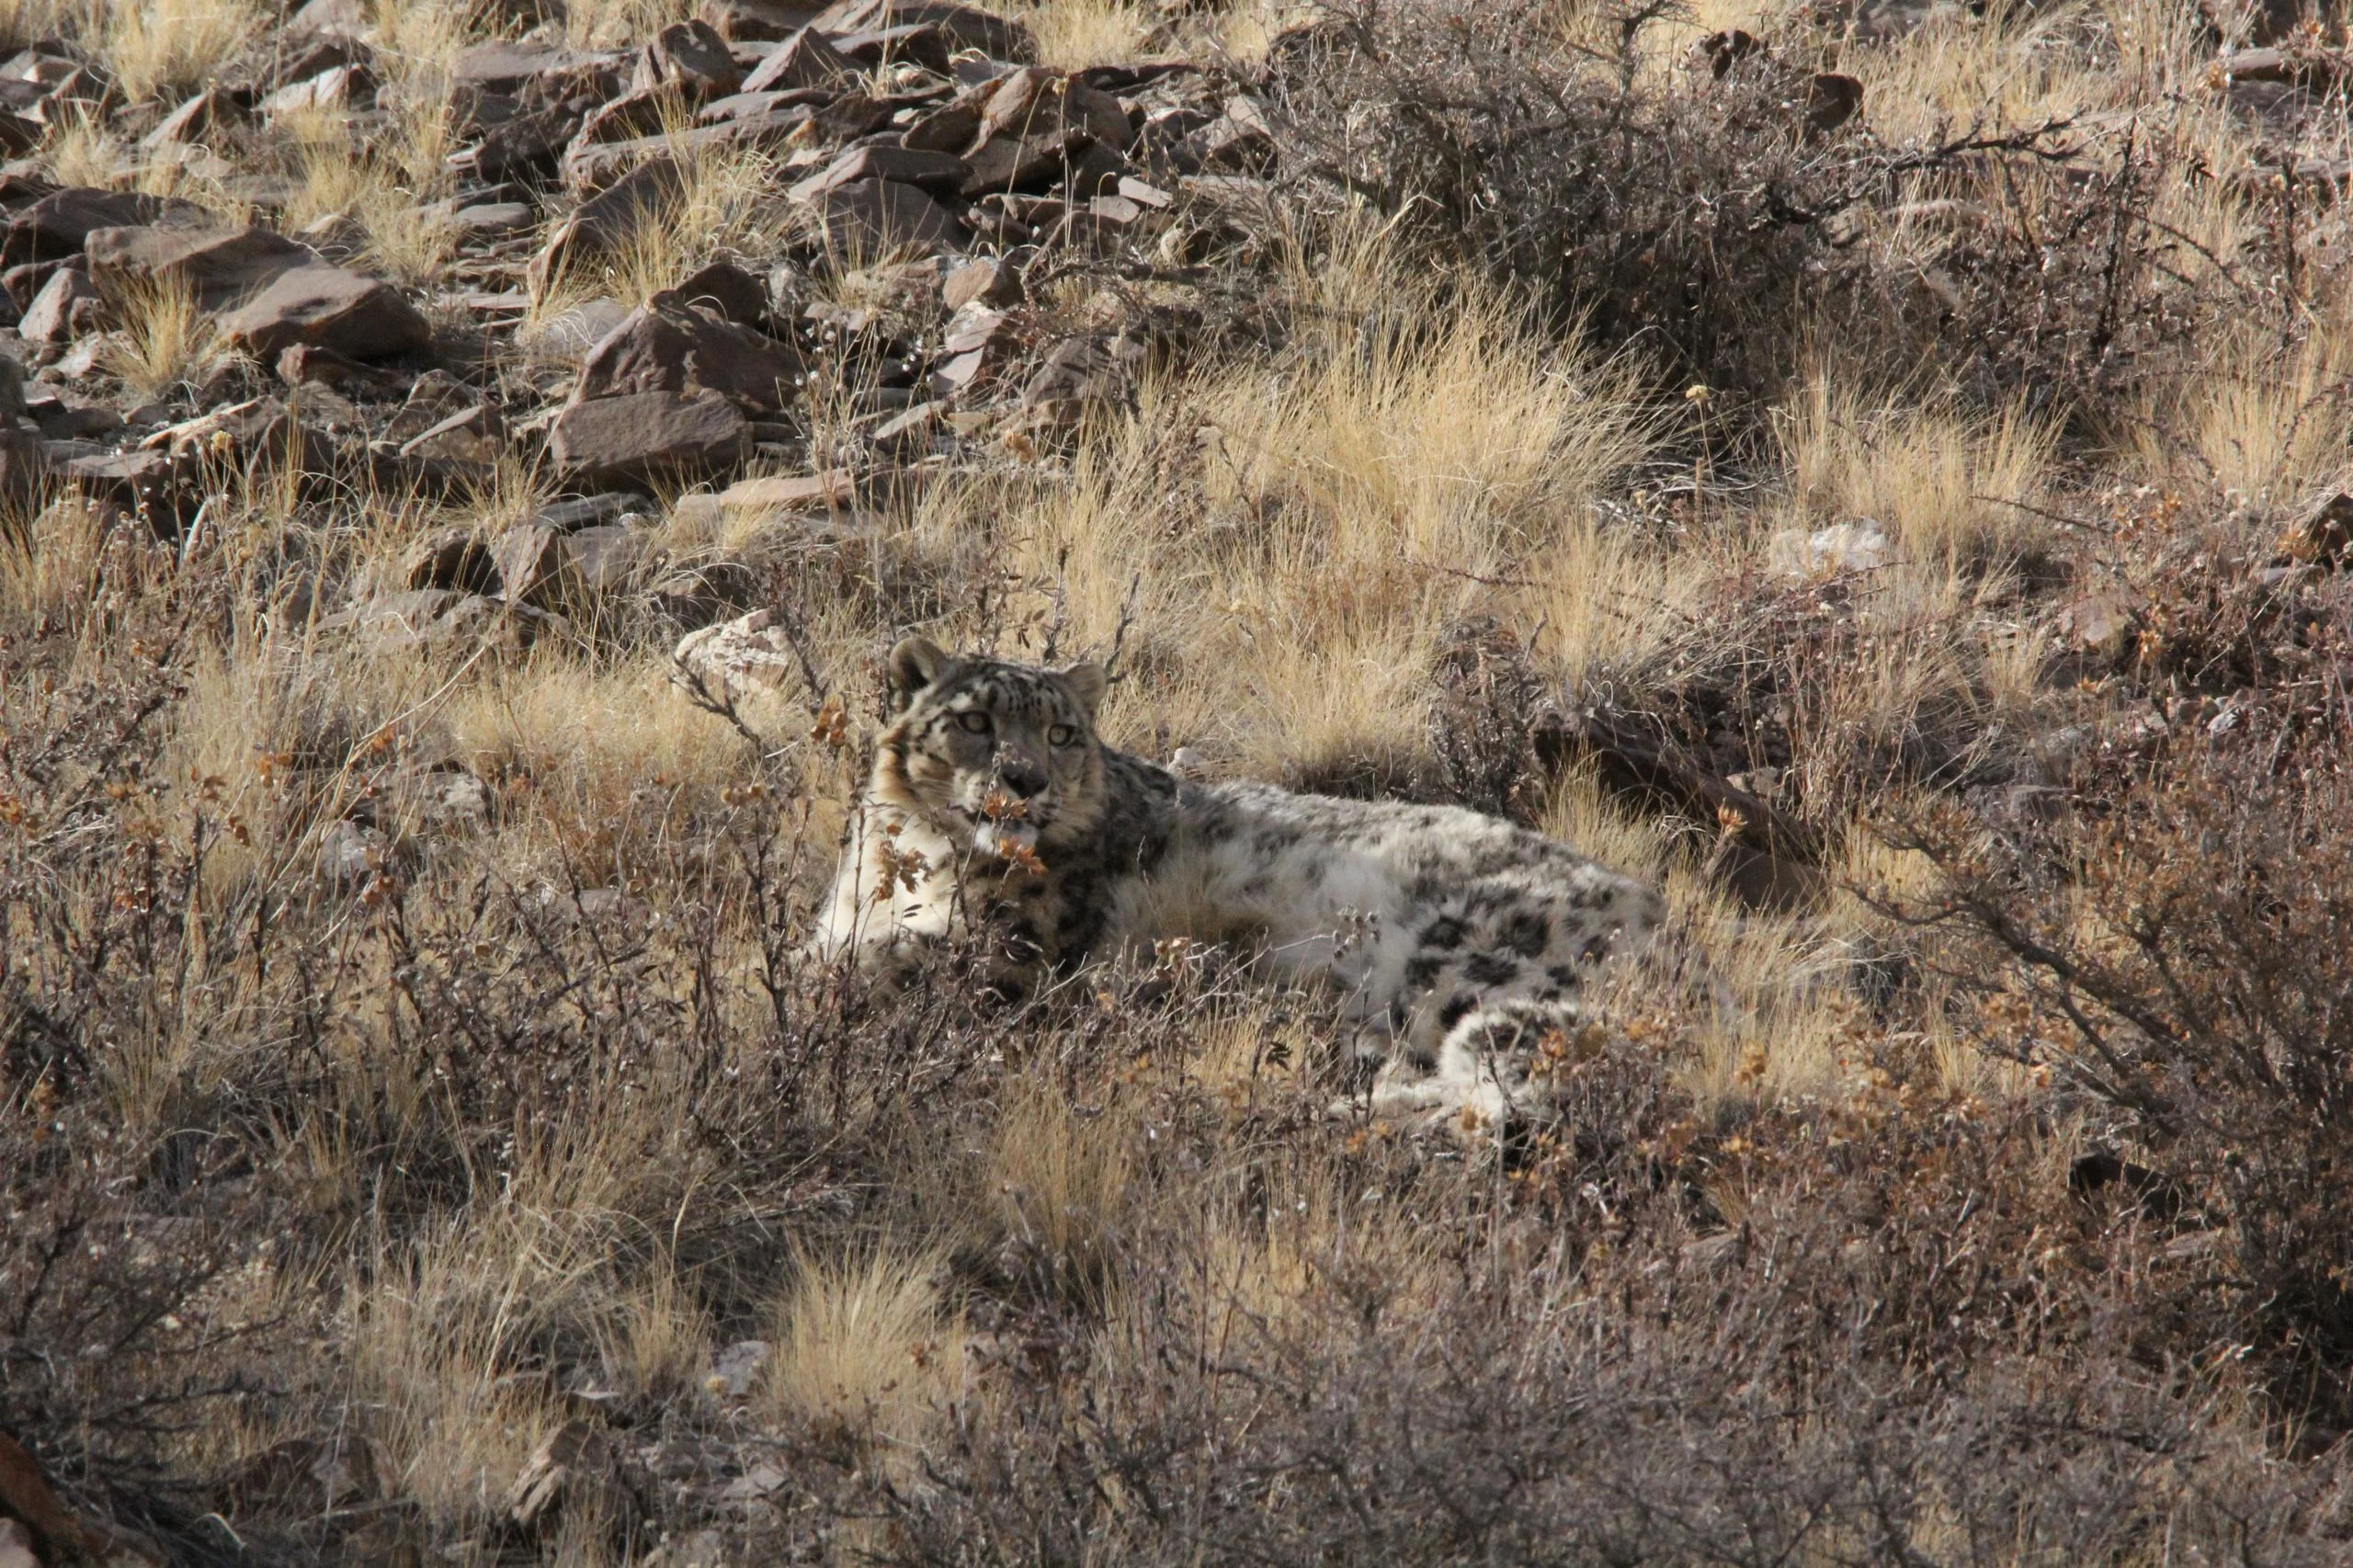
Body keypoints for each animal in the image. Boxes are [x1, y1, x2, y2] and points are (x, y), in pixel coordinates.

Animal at [810, 637, 1667, 1129]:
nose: (1023, 781)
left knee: (1513, 1081)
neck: (915, 857)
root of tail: (1665, 927)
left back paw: (1352, 1115)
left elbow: (888, 962)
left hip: (1462, 957)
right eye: (975, 722)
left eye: (1060, 733)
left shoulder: (1013, 951)